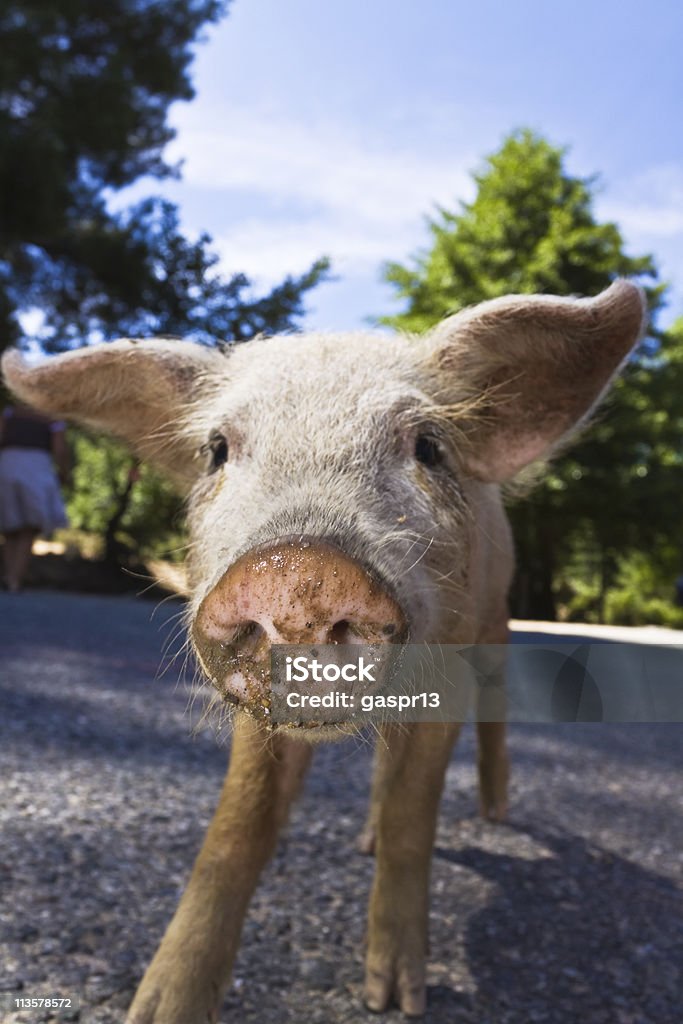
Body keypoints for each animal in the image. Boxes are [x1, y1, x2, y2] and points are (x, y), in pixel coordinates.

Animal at [1, 276, 647, 1019]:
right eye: (217, 449)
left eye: (428, 447)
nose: (300, 570)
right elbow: (238, 828)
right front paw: (156, 1008)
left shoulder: (447, 673)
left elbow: (413, 815)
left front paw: (394, 999)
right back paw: (365, 838)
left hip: (495, 626)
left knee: (493, 719)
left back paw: (495, 812)